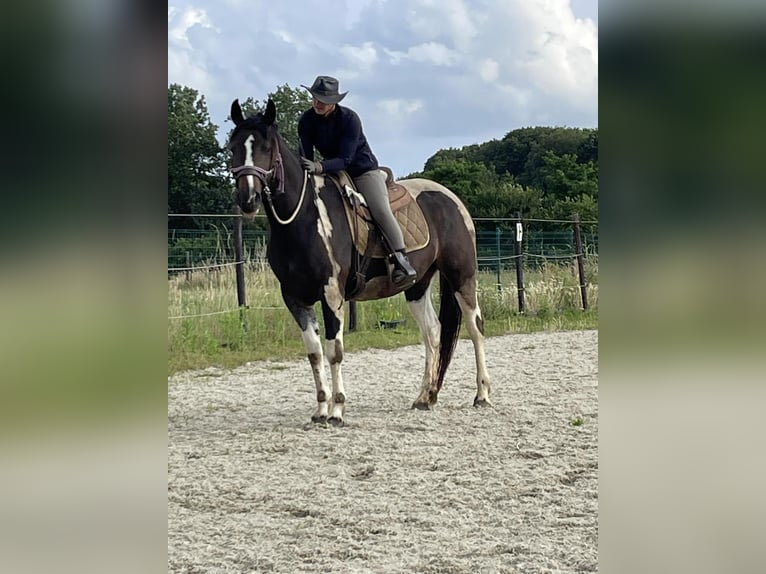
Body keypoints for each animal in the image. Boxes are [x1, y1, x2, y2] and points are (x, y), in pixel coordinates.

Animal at [228, 97, 492, 426]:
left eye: (266, 147)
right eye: (233, 147)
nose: (247, 199)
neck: (304, 220)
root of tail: (452, 199)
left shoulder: (332, 295)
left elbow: (334, 352)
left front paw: (337, 410)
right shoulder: (294, 299)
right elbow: (314, 353)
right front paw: (320, 409)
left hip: (461, 276)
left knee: (475, 327)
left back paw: (482, 395)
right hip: (417, 285)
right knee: (432, 332)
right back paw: (425, 396)